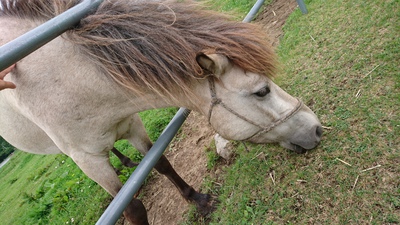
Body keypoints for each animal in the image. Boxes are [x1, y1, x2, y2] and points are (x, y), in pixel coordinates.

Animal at [0, 0, 322, 224]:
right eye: (262, 91)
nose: (317, 128)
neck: (74, 82)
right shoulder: (87, 159)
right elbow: (133, 208)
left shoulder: (132, 123)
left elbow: (162, 163)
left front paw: (198, 200)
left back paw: (127, 160)